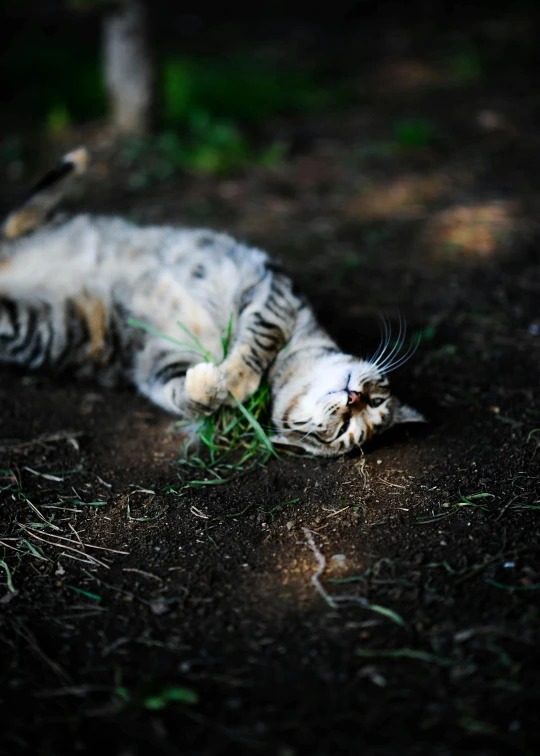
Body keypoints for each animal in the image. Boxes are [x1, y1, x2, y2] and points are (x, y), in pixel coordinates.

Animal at [0, 147, 422, 454]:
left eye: (349, 427)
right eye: (374, 400)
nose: (354, 397)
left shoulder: (159, 366)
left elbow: (185, 398)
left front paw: (213, 384)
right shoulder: (274, 287)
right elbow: (261, 338)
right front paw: (234, 378)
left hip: (36, 328)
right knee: (17, 217)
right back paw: (75, 161)